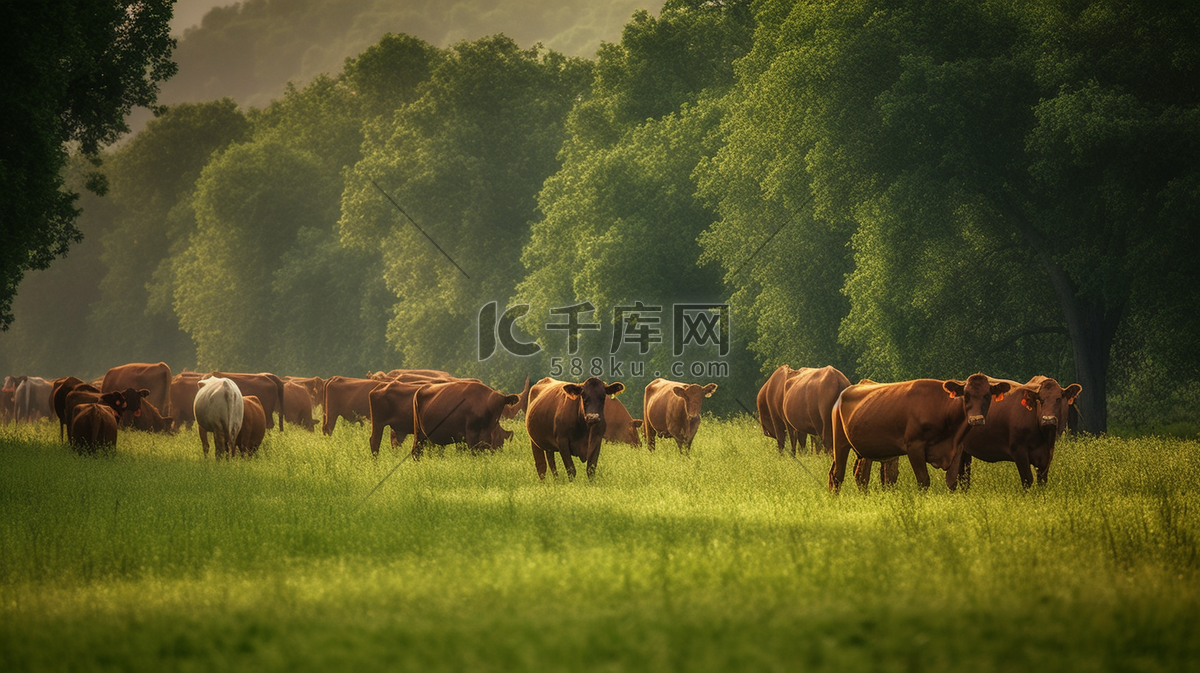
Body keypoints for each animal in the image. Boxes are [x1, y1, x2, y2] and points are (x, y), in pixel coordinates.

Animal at [830, 369, 1017, 491]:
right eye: (967, 395)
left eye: (987, 396)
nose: (976, 420)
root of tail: (845, 392)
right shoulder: (915, 446)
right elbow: (923, 481)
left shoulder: (957, 449)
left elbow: (952, 482)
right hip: (840, 443)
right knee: (837, 475)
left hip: (862, 450)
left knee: (859, 476)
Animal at [955, 371, 1089, 487]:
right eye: (1041, 400)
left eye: (1058, 399)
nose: (1048, 419)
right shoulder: (1018, 450)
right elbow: (1027, 480)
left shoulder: (1047, 455)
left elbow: (1042, 481)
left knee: (964, 476)